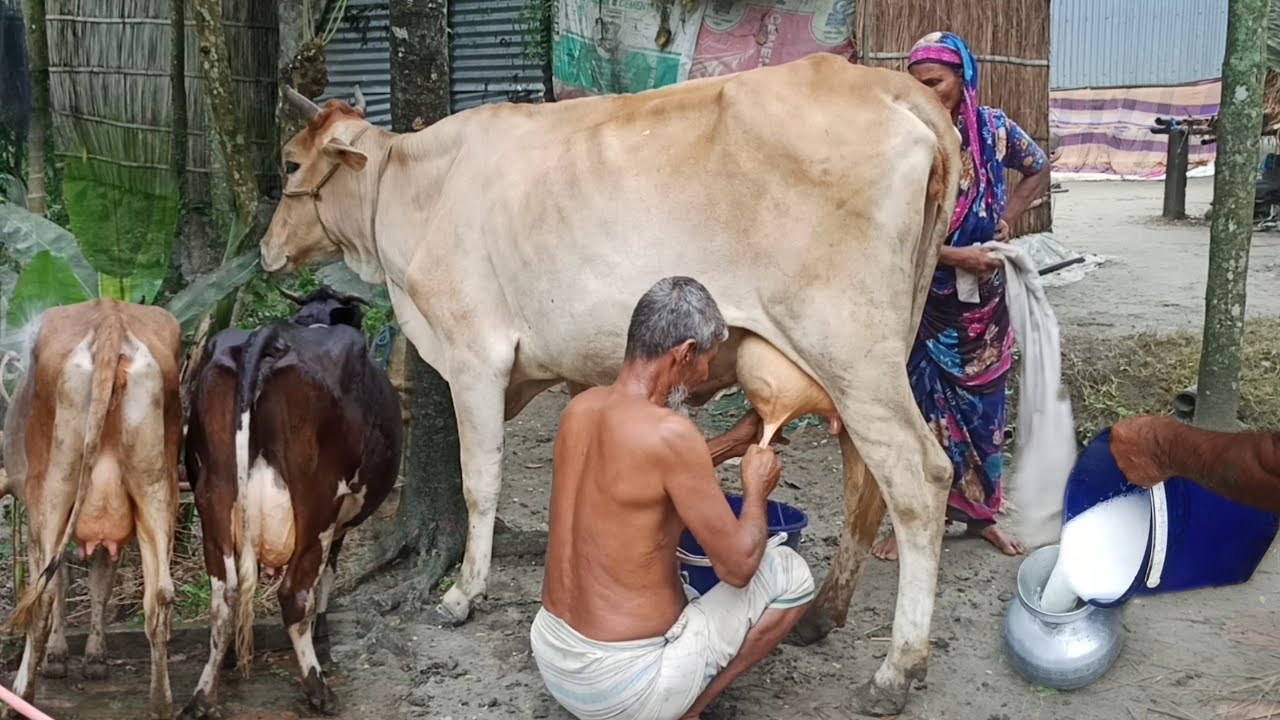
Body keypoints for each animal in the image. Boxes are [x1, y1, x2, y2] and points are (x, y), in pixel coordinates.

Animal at [1, 298, 182, 720]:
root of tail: (110, 315)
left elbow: (65, 581)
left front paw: (57, 658)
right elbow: (101, 582)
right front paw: (95, 658)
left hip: (54, 487)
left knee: (42, 593)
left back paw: (21, 694)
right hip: (157, 484)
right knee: (160, 594)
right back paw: (161, 703)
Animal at [180, 285, 404, 719]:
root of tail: (268, 338)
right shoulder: (338, 525)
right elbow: (326, 579)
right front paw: (324, 644)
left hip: (214, 496)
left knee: (225, 595)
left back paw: (202, 695)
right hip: (316, 503)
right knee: (294, 595)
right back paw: (319, 689)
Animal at [264, 53, 960, 715]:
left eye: (291, 163)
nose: (268, 251)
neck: (417, 190)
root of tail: (889, 87)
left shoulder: (475, 353)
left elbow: (479, 482)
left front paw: (463, 593)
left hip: (850, 347)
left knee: (919, 478)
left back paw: (897, 670)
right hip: (863, 360)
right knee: (864, 478)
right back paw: (824, 617)